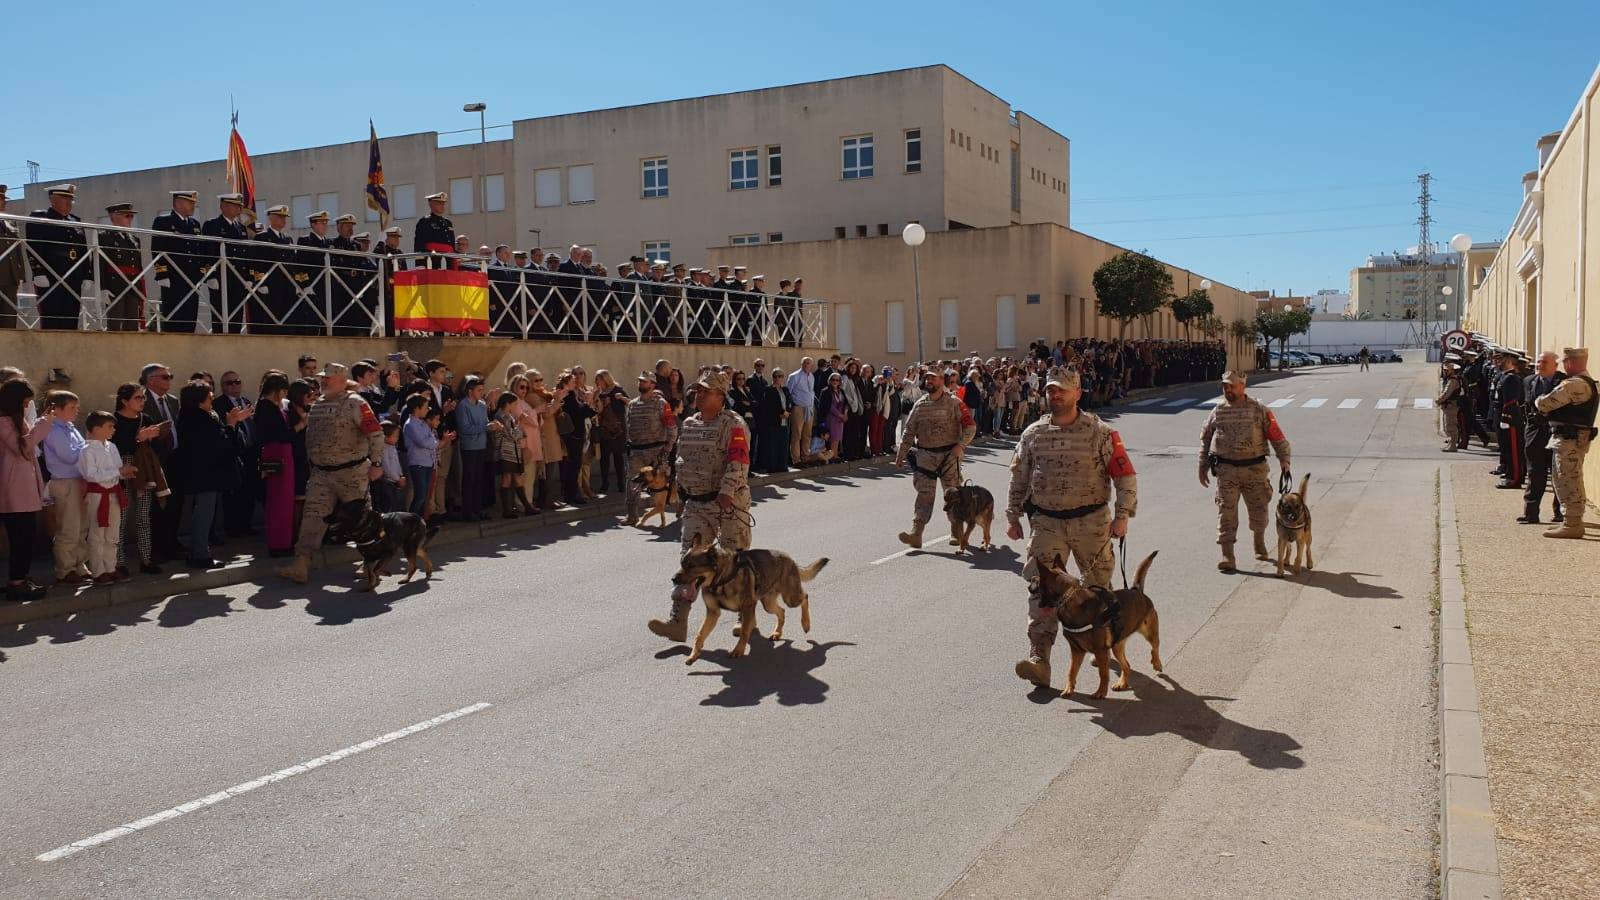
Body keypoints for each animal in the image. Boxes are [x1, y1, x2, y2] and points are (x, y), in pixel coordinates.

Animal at [672, 531, 832, 666]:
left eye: (691, 566)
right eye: (681, 564)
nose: (673, 579)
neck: (722, 578)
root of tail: (790, 559)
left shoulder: (747, 607)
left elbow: (744, 632)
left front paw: (738, 650)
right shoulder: (713, 612)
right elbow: (699, 635)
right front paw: (694, 654)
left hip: (790, 598)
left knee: (804, 597)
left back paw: (806, 624)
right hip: (768, 603)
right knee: (782, 611)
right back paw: (777, 633)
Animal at [1036, 550, 1164, 698]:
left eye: (1039, 585)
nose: (1029, 588)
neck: (1068, 596)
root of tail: (1136, 590)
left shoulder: (1100, 651)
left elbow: (1103, 673)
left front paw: (1101, 692)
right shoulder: (1077, 651)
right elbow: (1071, 671)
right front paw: (1069, 689)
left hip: (1150, 634)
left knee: (1155, 647)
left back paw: (1157, 663)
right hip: (1116, 647)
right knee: (1127, 666)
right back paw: (1122, 683)